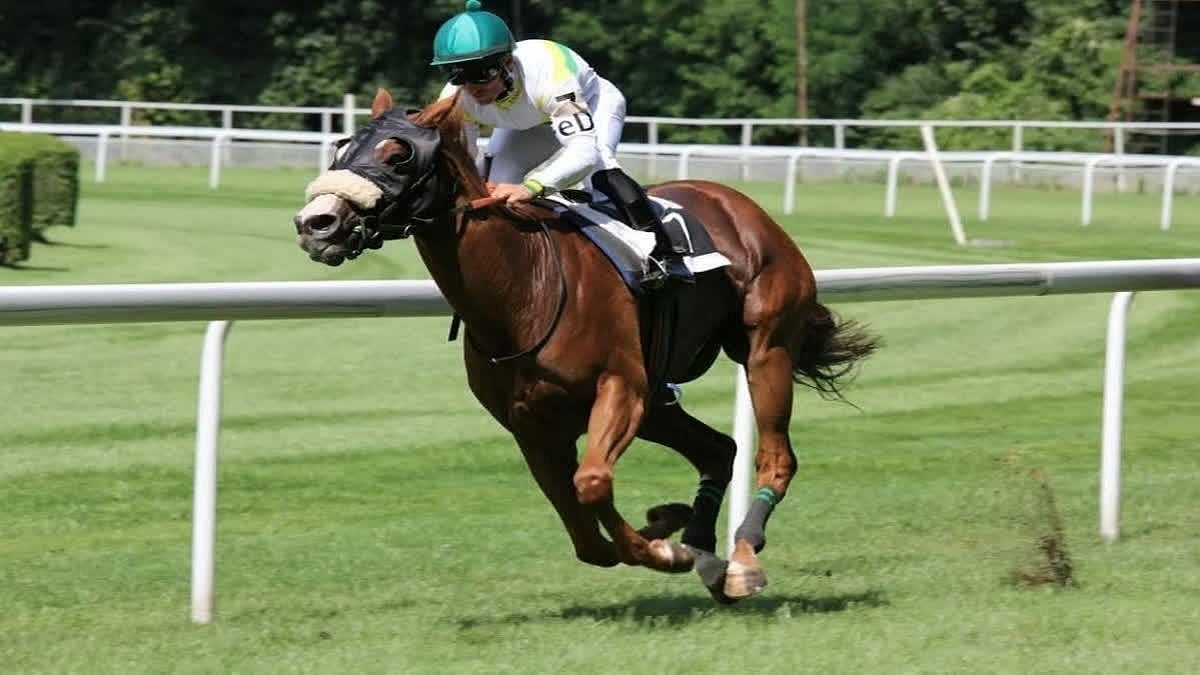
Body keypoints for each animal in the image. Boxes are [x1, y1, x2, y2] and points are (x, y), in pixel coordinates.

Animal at [293, 88, 879, 603]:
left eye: (398, 155)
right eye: (342, 148)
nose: (315, 223)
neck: (522, 289)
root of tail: (739, 203)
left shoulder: (620, 388)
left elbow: (592, 483)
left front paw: (663, 548)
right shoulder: (532, 425)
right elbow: (582, 532)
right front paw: (667, 529)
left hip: (764, 349)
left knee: (775, 456)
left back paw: (741, 561)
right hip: (659, 401)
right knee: (720, 449)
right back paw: (703, 549)